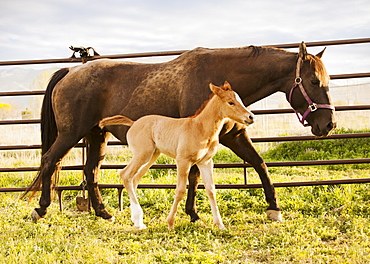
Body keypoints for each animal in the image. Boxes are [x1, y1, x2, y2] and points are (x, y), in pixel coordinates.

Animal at [99, 82, 253, 229]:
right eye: (230, 102)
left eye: (239, 100)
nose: (250, 117)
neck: (200, 128)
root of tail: (134, 123)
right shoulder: (183, 161)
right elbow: (180, 190)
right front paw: (170, 223)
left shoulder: (205, 162)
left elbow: (211, 190)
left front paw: (220, 225)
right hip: (142, 154)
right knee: (125, 174)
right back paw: (138, 219)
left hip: (151, 156)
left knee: (134, 178)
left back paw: (138, 221)